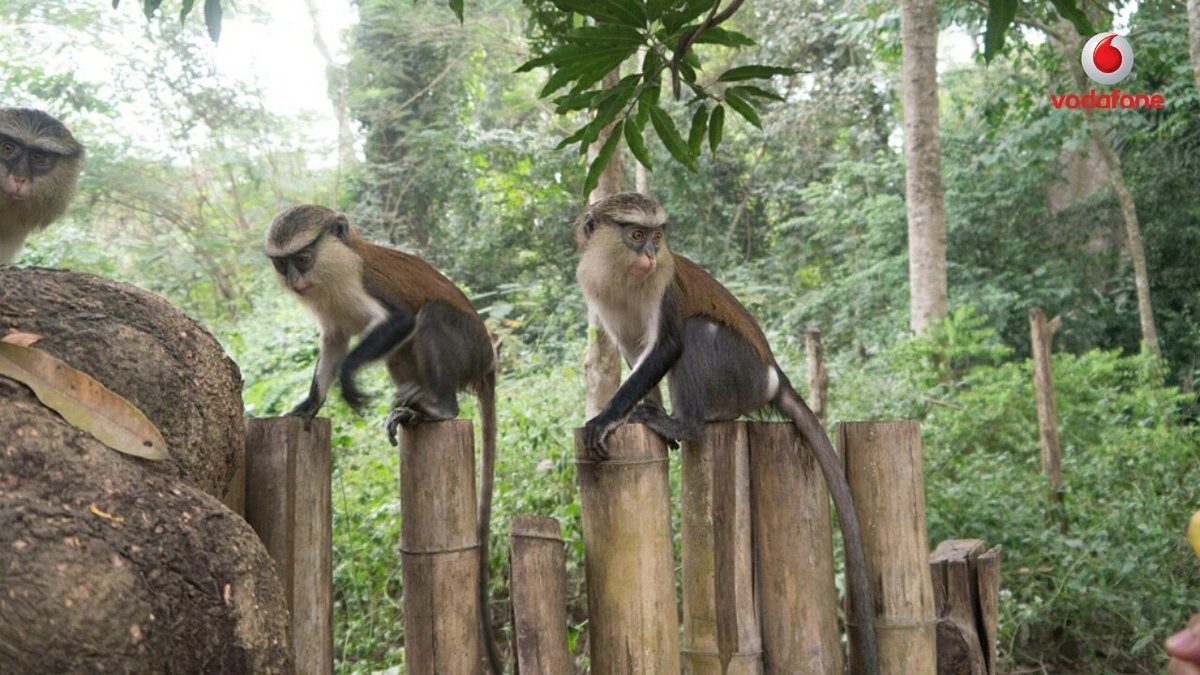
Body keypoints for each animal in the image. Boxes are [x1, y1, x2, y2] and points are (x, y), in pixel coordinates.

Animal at [263, 205, 503, 674]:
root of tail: (487, 366)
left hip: (467, 346)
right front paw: (310, 404)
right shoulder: (332, 319)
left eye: (303, 258)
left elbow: (401, 321)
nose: (296, 282)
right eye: (283, 264)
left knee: (429, 318)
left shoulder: (363, 283)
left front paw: (349, 378)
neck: (335, 267)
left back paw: (439, 407)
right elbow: (333, 342)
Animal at [575, 192, 880, 675]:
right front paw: (639, 411)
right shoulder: (602, 297)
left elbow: (668, 345)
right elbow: (633, 352)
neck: (622, 273)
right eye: (637, 234)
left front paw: (608, 418)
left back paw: (686, 424)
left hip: (741, 375)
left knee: (697, 332)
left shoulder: (664, 287)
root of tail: (773, 375)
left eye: (656, 238)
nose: (651, 255)